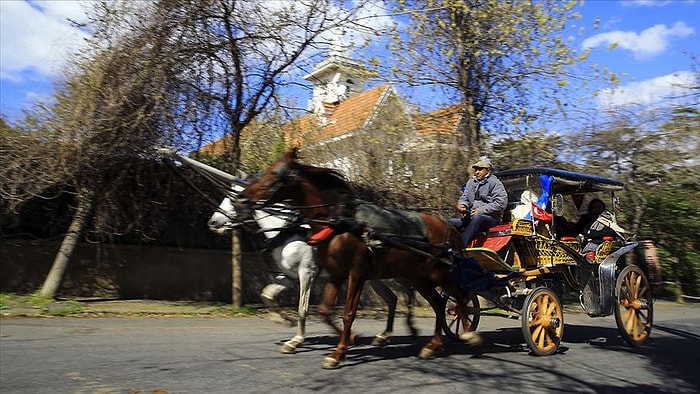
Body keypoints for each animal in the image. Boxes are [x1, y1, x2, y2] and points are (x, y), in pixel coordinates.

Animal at [208, 189, 416, 352]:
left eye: (234, 198)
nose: (212, 222)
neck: (288, 230)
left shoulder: (307, 273)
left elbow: (303, 307)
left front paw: (296, 340)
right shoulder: (288, 277)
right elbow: (267, 294)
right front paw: (283, 320)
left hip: (396, 273)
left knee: (409, 291)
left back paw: (410, 327)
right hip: (373, 278)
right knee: (392, 299)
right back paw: (384, 335)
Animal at [238, 149, 474, 370]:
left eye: (274, 173)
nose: (242, 198)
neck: (338, 224)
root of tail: (448, 227)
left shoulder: (351, 274)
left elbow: (346, 313)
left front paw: (336, 352)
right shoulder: (334, 274)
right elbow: (323, 310)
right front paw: (345, 342)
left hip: (437, 273)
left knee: (459, 298)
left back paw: (466, 332)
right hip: (417, 277)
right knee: (435, 303)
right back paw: (431, 344)